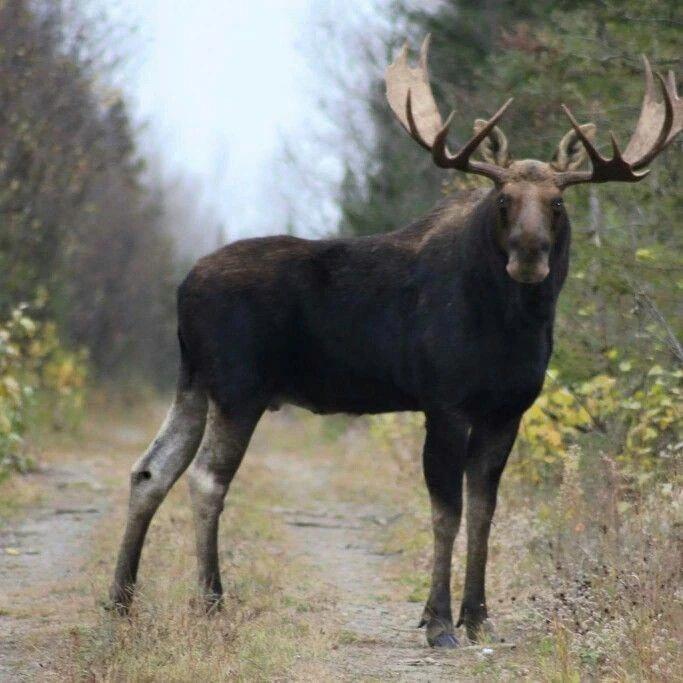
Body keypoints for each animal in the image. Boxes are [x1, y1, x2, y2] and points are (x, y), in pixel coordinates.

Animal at [109, 36, 681, 647]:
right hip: (239, 387)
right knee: (205, 479)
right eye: (503, 198)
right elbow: (446, 513)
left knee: (150, 469)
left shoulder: (507, 410)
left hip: (194, 381)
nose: (529, 253)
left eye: (557, 202)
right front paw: (438, 622)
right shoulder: (445, 403)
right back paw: (211, 601)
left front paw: (478, 616)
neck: (513, 327)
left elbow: (484, 510)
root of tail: (183, 289)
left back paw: (120, 599)